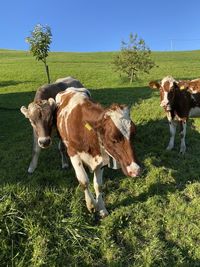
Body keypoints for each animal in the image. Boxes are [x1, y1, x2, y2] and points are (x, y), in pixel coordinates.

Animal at [55, 87, 141, 218]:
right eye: (113, 139)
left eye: (133, 134)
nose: (136, 170)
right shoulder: (73, 152)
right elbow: (84, 181)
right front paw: (91, 205)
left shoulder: (101, 159)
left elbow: (98, 185)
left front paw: (101, 208)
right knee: (61, 147)